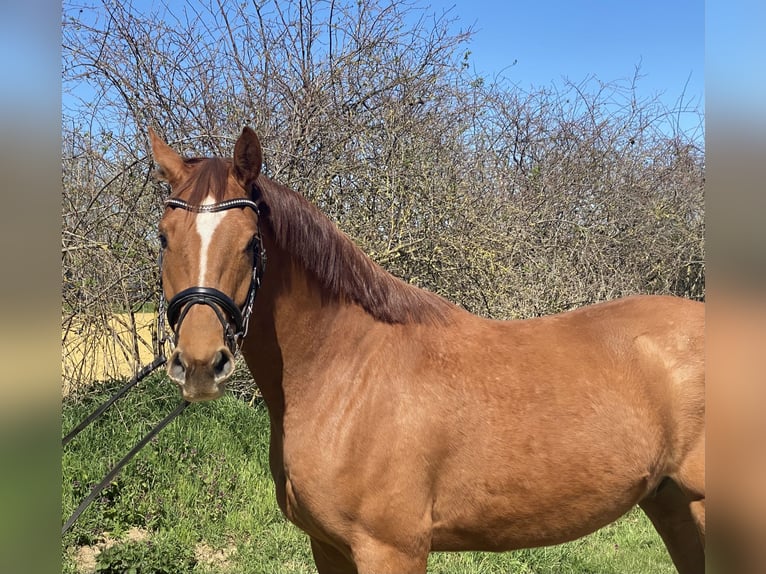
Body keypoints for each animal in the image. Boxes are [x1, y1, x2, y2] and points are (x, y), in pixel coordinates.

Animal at [149, 126, 705, 573]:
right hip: (672, 506)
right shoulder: (328, 548)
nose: (200, 363)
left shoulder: (390, 549)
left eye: (250, 243)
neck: (347, 373)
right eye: (163, 238)